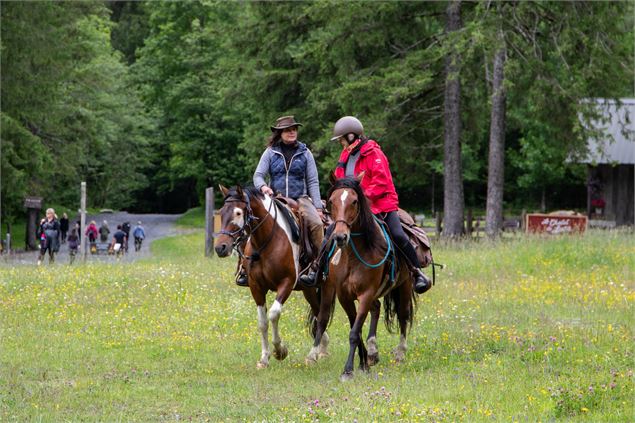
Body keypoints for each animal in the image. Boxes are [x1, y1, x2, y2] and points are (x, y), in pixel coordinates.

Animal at [216, 184, 330, 370]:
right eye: (221, 212)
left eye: (238, 213)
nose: (220, 247)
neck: (267, 240)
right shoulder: (256, 287)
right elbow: (262, 322)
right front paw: (264, 359)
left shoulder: (287, 283)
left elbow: (274, 314)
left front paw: (280, 351)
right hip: (309, 289)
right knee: (317, 312)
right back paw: (322, 349)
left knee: (323, 315)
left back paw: (313, 355)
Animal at [306, 174, 418, 382]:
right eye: (331, 201)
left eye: (354, 201)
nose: (340, 237)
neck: (354, 255)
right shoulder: (344, 295)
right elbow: (354, 328)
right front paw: (363, 361)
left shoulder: (366, 293)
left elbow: (354, 331)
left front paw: (348, 370)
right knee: (371, 309)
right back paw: (371, 351)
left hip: (405, 286)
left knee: (403, 315)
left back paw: (400, 353)